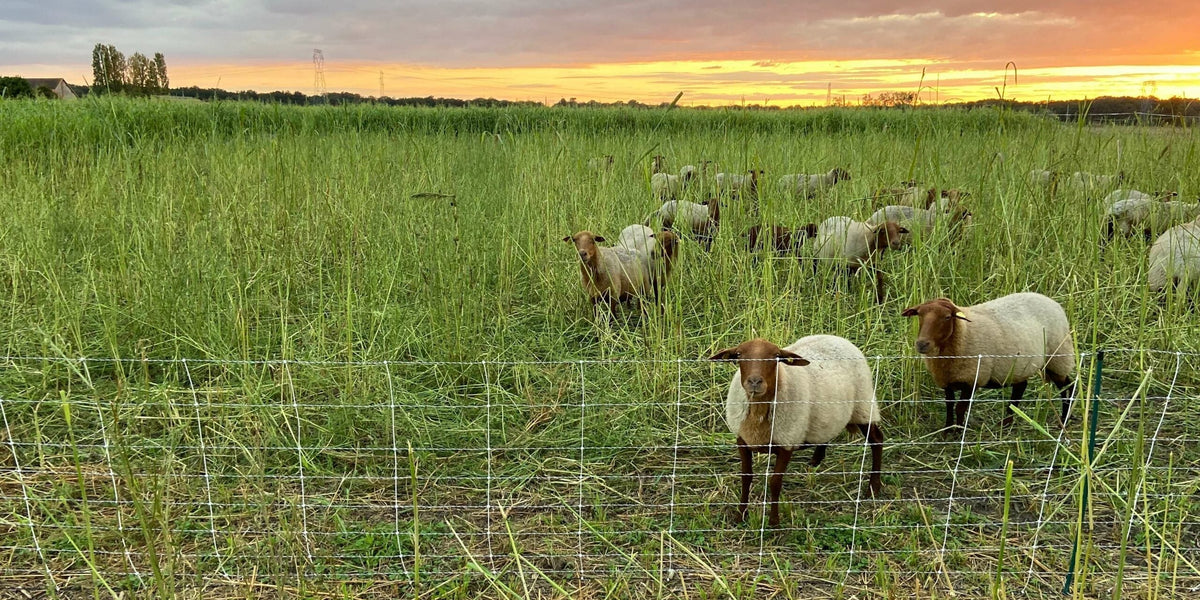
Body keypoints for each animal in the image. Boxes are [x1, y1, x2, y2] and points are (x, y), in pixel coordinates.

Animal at [709, 335, 883, 526]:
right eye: (739, 354)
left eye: (776, 356)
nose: (754, 382)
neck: (758, 412)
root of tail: (838, 338)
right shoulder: (742, 440)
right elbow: (746, 478)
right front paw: (740, 516)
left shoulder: (787, 441)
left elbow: (775, 482)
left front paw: (774, 523)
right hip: (830, 413)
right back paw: (815, 460)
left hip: (864, 406)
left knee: (877, 440)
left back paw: (873, 488)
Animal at [900, 292, 1076, 431]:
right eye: (919, 315)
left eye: (947, 317)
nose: (922, 344)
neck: (964, 333)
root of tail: (1051, 301)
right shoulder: (946, 379)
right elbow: (949, 405)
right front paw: (947, 430)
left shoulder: (972, 379)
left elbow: (960, 408)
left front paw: (958, 432)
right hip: (1022, 365)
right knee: (1020, 388)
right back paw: (1006, 423)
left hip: (1058, 358)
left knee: (1067, 386)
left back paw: (1063, 419)